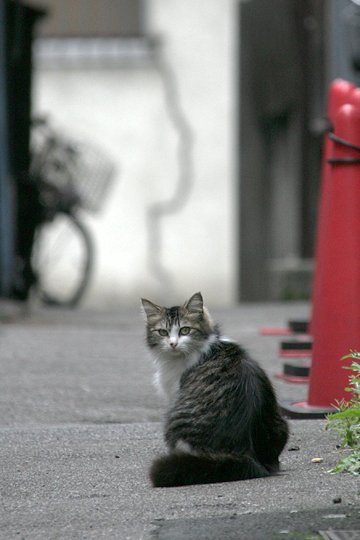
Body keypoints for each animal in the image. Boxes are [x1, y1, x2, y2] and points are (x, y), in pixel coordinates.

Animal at [141, 294, 290, 488]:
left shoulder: (174, 392)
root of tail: (246, 453)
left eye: (185, 330)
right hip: (281, 423)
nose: (173, 344)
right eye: (163, 332)